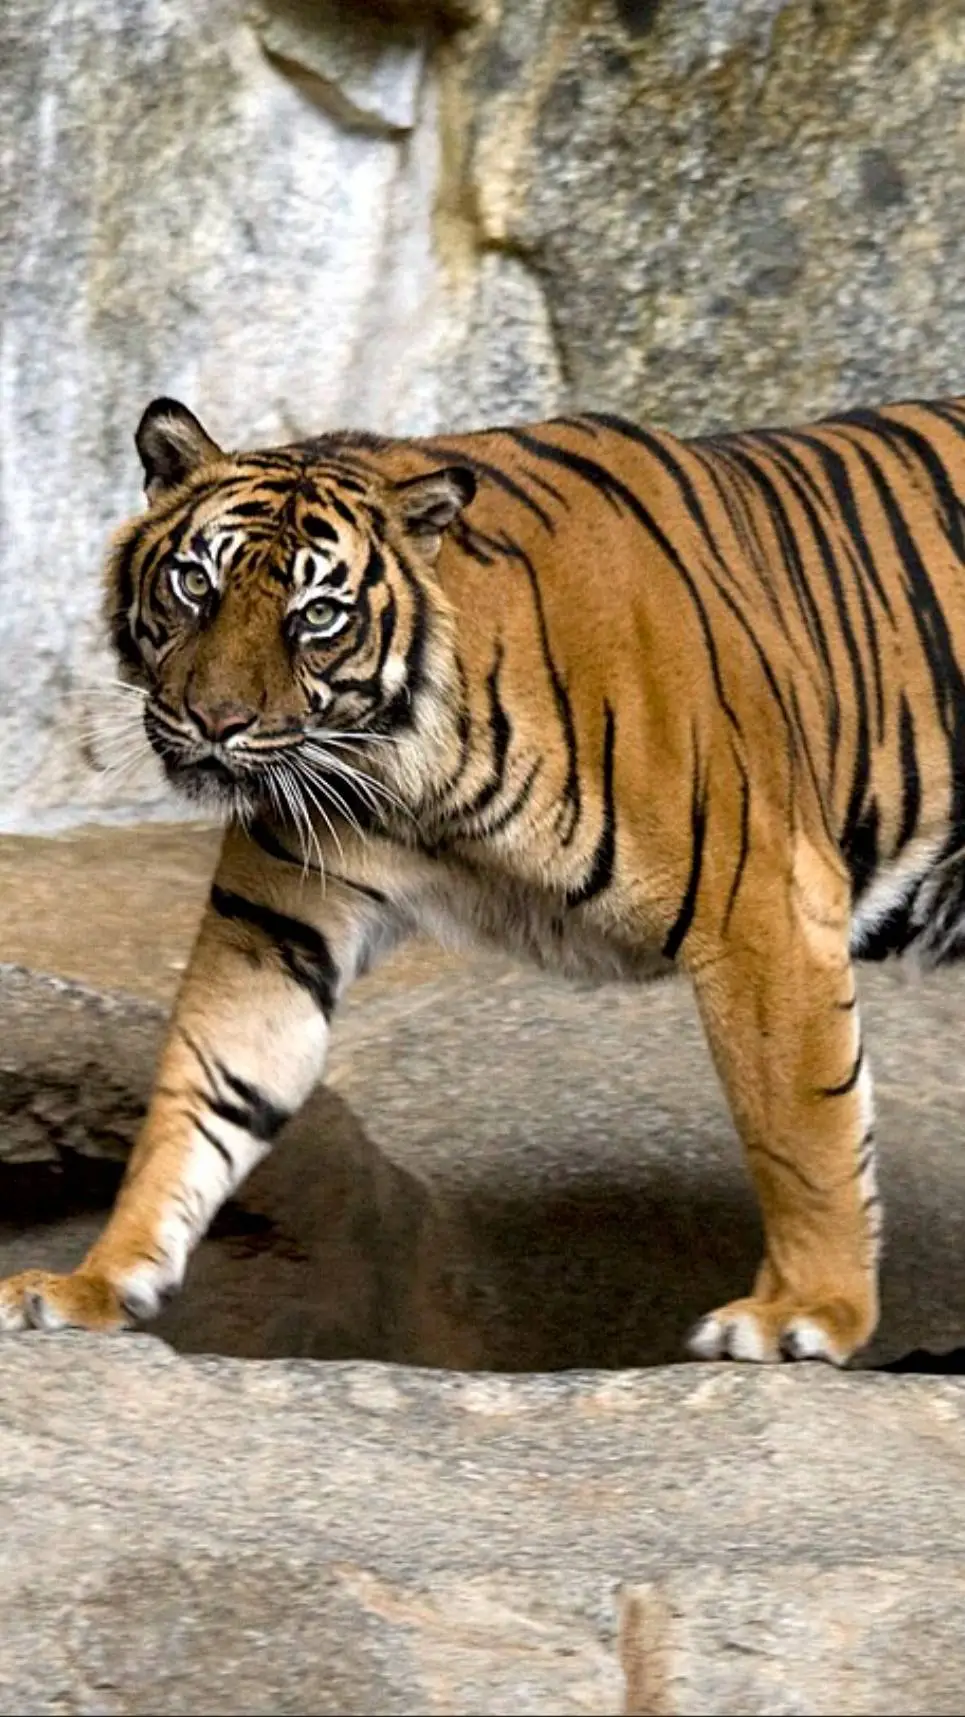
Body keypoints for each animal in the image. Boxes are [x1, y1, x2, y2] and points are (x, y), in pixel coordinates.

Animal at [6, 389, 965, 1366]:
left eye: (317, 614)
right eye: (195, 583)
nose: (215, 721)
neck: (406, 768)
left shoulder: (761, 900)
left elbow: (799, 1126)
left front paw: (805, 1310)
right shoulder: (272, 932)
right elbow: (199, 1097)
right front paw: (90, 1284)